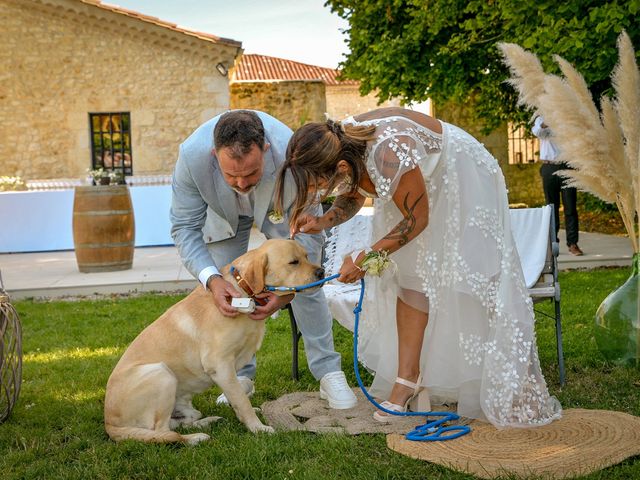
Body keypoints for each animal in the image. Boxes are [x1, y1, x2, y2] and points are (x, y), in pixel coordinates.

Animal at [106, 238, 324, 444]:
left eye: (307, 256)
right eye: (294, 262)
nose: (322, 272)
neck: (244, 291)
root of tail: (109, 424)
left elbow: (238, 395)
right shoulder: (219, 364)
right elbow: (241, 400)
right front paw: (258, 428)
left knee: (180, 424)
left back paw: (208, 422)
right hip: (161, 373)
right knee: (163, 432)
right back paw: (196, 438)